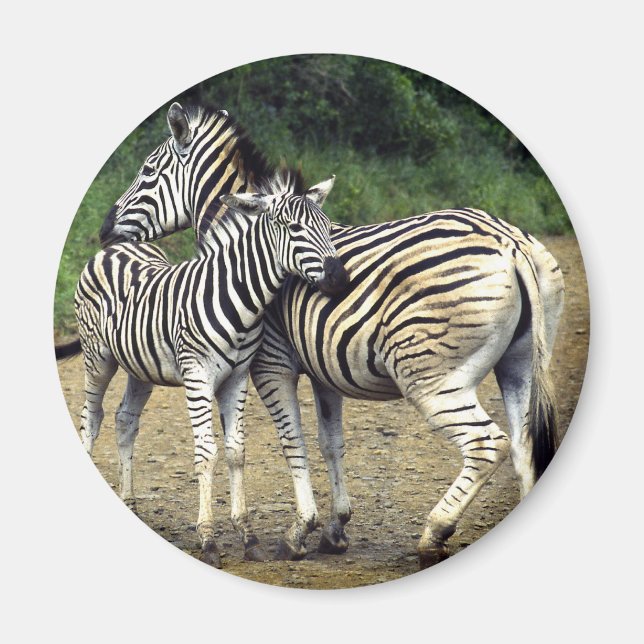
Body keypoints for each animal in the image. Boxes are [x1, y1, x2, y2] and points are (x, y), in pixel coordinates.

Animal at [56, 169, 348, 568]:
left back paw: (130, 501)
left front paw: (247, 536)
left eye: (327, 228)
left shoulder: (237, 377)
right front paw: (208, 539)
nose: (340, 279)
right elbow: (207, 453)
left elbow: (236, 451)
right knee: (92, 416)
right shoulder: (198, 376)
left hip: (140, 366)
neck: (240, 299)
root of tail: (116, 247)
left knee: (125, 420)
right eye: (293, 228)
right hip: (97, 356)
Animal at [96, 103, 565, 568]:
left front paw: (299, 531)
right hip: (519, 365)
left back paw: (434, 532)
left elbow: (292, 441)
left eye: (148, 170)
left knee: (487, 444)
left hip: (431, 377)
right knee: (523, 448)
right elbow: (331, 443)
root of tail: (509, 242)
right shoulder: (326, 369)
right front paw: (336, 528)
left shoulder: (271, 364)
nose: (102, 230)